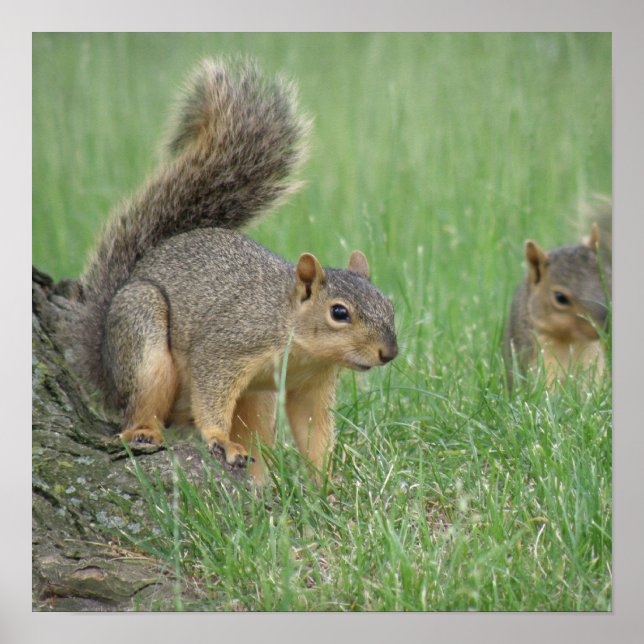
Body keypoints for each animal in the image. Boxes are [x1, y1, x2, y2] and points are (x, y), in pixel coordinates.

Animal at [66, 58, 398, 481]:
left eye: (389, 307)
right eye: (339, 312)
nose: (389, 352)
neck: (299, 342)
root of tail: (107, 370)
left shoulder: (311, 385)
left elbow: (313, 431)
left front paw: (326, 481)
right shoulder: (226, 346)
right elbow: (211, 393)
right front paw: (219, 439)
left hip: (256, 400)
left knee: (255, 437)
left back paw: (260, 482)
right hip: (142, 335)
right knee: (141, 403)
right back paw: (144, 431)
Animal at [503, 196, 612, 390]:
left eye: (610, 280)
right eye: (560, 298)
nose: (606, 326)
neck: (570, 340)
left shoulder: (595, 361)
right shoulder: (537, 358)